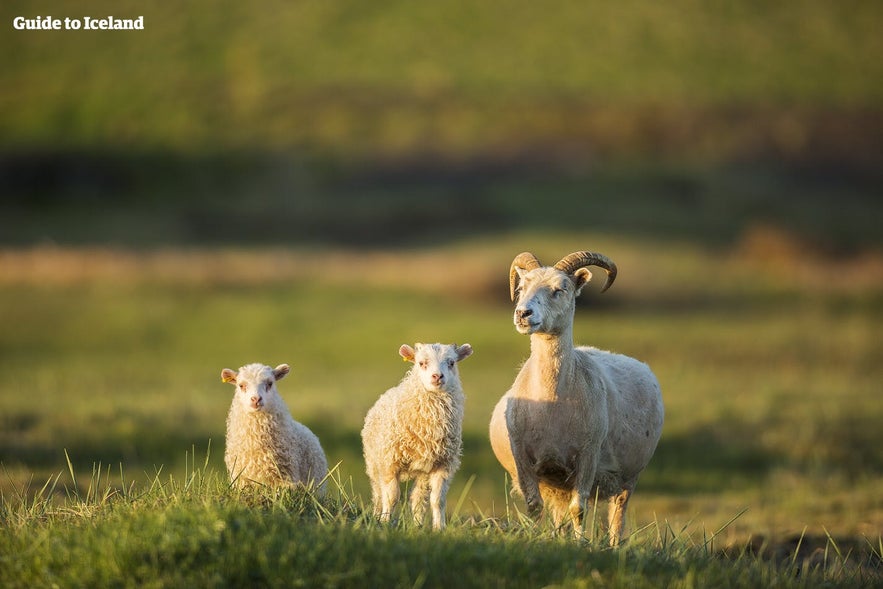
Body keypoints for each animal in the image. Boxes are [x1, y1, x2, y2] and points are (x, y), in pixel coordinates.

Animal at [360, 340, 474, 528]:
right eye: (421, 363)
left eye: (451, 363)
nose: (437, 376)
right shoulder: (390, 461)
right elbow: (391, 497)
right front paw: (384, 522)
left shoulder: (443, 464)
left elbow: (437, 500)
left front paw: (439, 528)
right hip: (374, 462)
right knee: (378, 493)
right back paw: (377, 515)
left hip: (422, 472)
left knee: (418, 498)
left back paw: (418, 525)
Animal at [490, 250, 664, 544]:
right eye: (521, 288)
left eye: (560, 289)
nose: (523, 313)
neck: (552, 403)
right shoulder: (523, 458)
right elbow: (534, 506)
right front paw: (537, 539)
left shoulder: (587, 456)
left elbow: (579, 508)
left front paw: (580, 543)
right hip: (556, 481)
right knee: (559, 512)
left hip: (628, 477)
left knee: (617, 514)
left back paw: (614, 545)